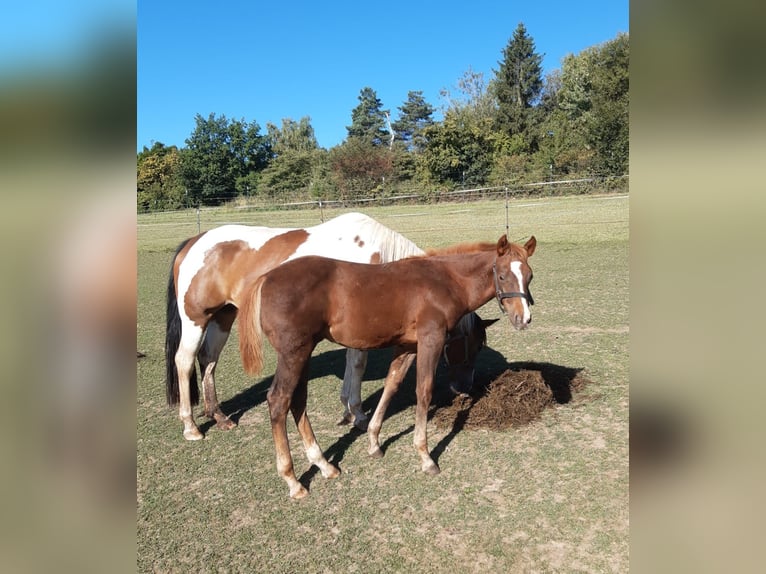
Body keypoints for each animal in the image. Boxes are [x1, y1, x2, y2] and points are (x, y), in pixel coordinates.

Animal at [165, 212, 495, 440]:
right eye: (474, 345)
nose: (465, 389)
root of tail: (195, 242)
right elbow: (358, 365)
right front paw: (358, 414)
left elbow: (352, 365)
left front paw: (348, 411)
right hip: (195, 320)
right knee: (184, 361)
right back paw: (191, 426)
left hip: (223, 316)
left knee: (208, 360)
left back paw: (218, 416)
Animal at [238, 234, 536, 498]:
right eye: (502, 276)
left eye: (530, 276)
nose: (523, 319)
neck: (444, 281)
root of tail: (265, 278)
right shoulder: (430, 339)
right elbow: (423, 392)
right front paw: (425, 457)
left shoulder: (407, 346)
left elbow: (391, 385)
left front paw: (374, 442)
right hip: (293, 353)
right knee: (279, 400)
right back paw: (293, 481)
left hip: (303, 353)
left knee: (298, 399)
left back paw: (324, 465)